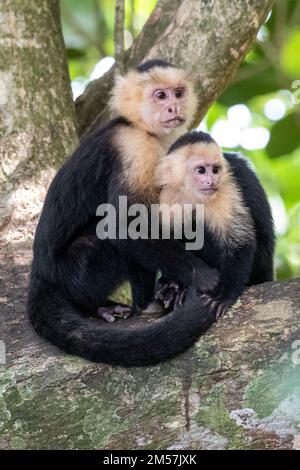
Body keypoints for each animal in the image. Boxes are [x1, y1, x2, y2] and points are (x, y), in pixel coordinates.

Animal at [27, 59, 220, 368]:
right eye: (160, 96)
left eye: (178, 93)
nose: (173, 107)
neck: (142, 128)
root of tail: (39, 272)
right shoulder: (133, 147)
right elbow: (125, 226)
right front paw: (199, 274)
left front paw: (174, 284)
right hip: (73, 271)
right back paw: (113, 305)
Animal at [155, 130, 274, 318]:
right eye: (201, 170)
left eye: (215, 170)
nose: (211, 181)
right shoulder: (168, 195)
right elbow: (167, 239)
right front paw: (172, 282)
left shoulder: (226, 189)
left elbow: (239, 242)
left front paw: (225, 295)